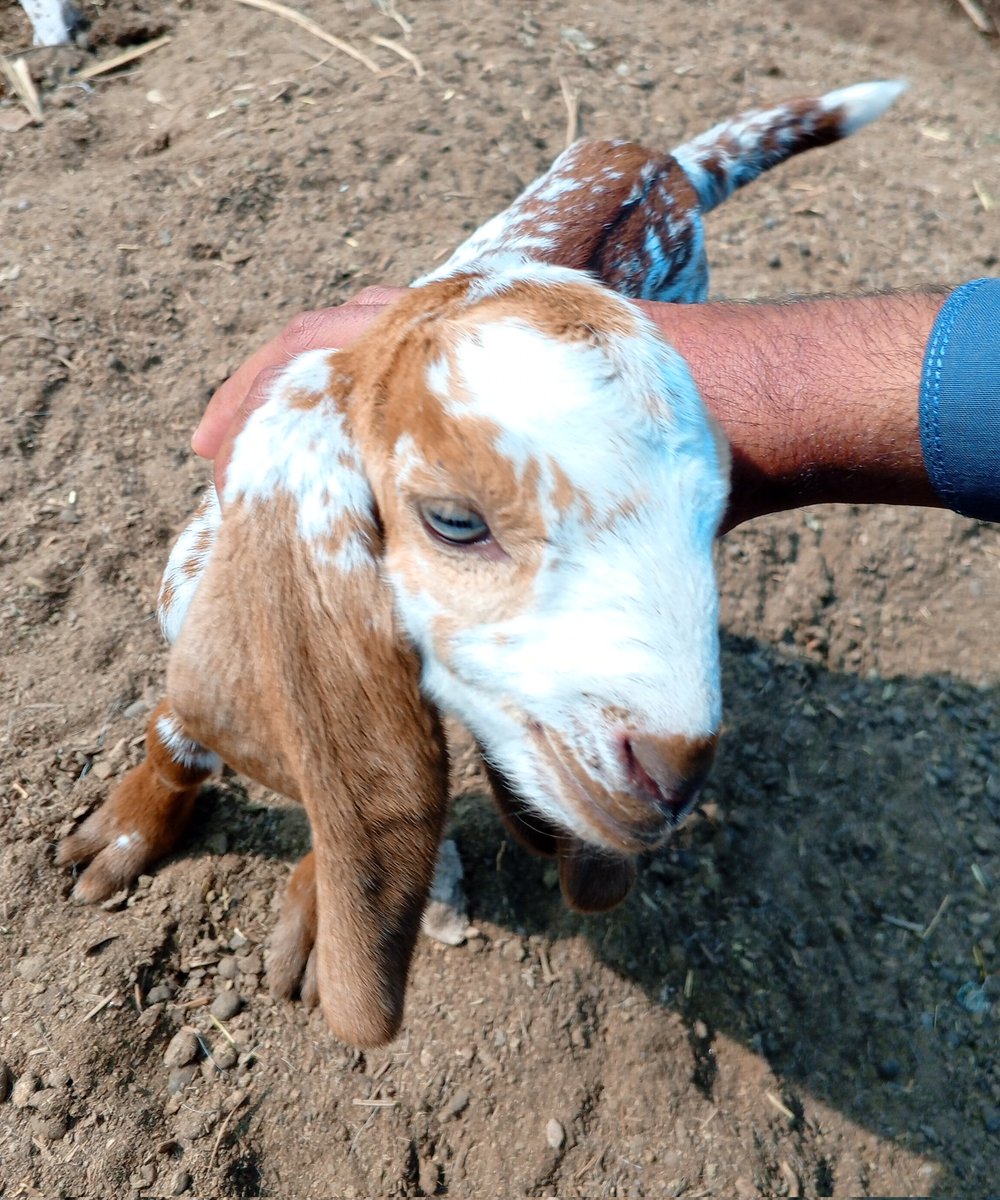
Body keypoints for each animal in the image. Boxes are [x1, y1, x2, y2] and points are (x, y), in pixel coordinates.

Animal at [59, 81, 905, 1047]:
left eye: (715, 517)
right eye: (456, 522)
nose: (676, 768)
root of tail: (660, 162)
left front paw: (312, 918)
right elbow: (184, 733)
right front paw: (120, 837)